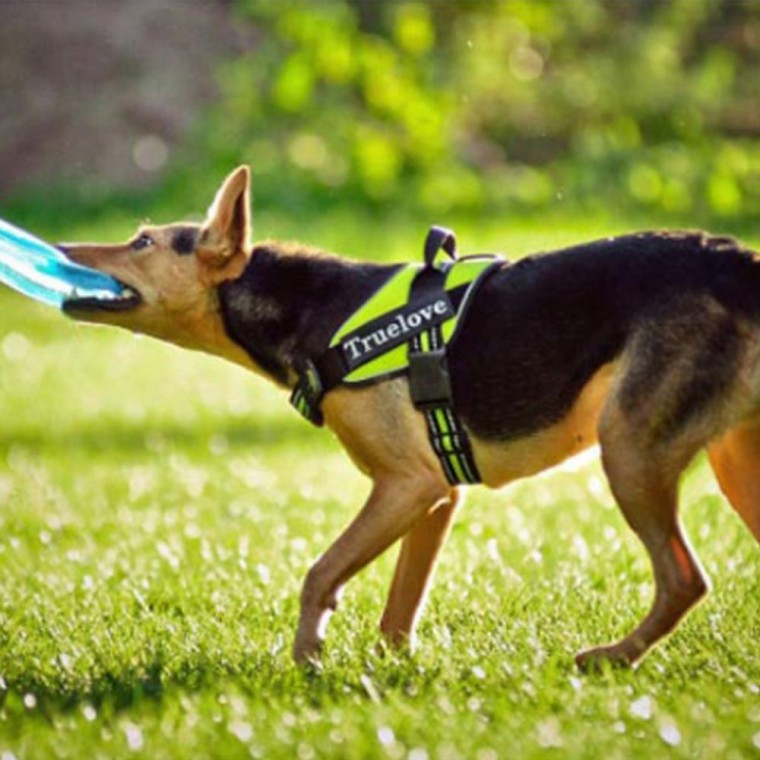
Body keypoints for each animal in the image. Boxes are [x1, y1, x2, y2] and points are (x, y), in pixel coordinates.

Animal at [60, 165, 760, 664]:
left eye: (142, 242)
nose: (61, 245)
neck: (312, 312)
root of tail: (734, 262)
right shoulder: (436, 494)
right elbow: (399, 609)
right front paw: (390, 676)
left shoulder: (406, 484)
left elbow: (319, 573)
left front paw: (306, 659)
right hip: (732, 466)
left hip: (629, 449)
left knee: (683, 580)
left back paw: (612, 658)